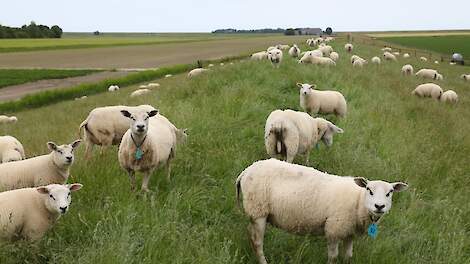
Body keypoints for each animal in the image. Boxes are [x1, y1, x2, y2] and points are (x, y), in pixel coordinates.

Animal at [237, 159, 410, 264]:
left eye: (390, 193)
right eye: (369, 190)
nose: (379, 206)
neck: (358, 201)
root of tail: (245, 171)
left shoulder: (350, 233)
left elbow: (348, 257)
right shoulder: (334, 229)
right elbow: (333, 257)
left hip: (255, 213)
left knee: (250, 235)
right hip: (258, 210)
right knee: (257, 242)